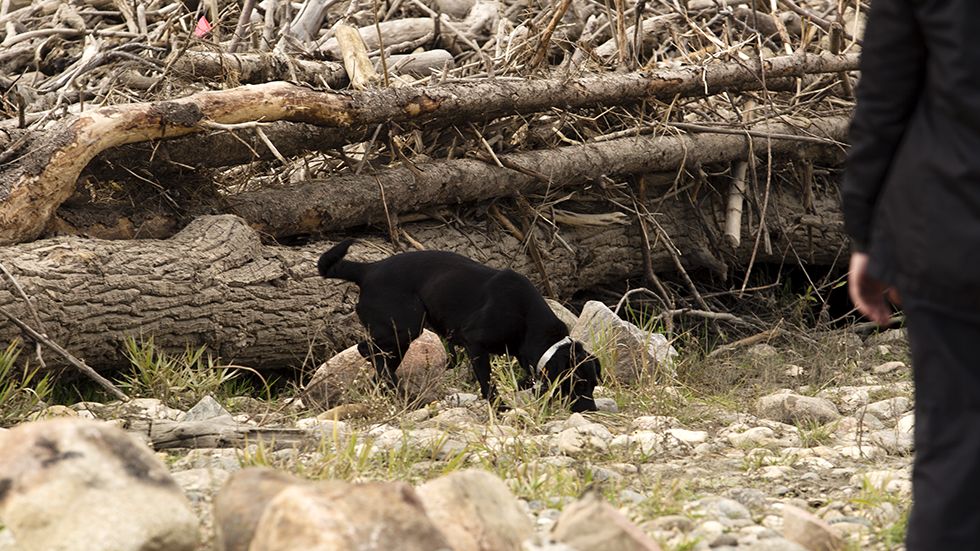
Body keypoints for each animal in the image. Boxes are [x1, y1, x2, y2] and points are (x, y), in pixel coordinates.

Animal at [318, 239, 600, 412]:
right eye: (578, 384)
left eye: (593, 384)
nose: (591, 410)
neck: (527, 318)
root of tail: (367, 270)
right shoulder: (475, 344)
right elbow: (487, 382)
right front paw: (499, 407)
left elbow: (526, 378)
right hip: (404, 327)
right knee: (367, 350)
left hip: (400, 335)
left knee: (378, 362)